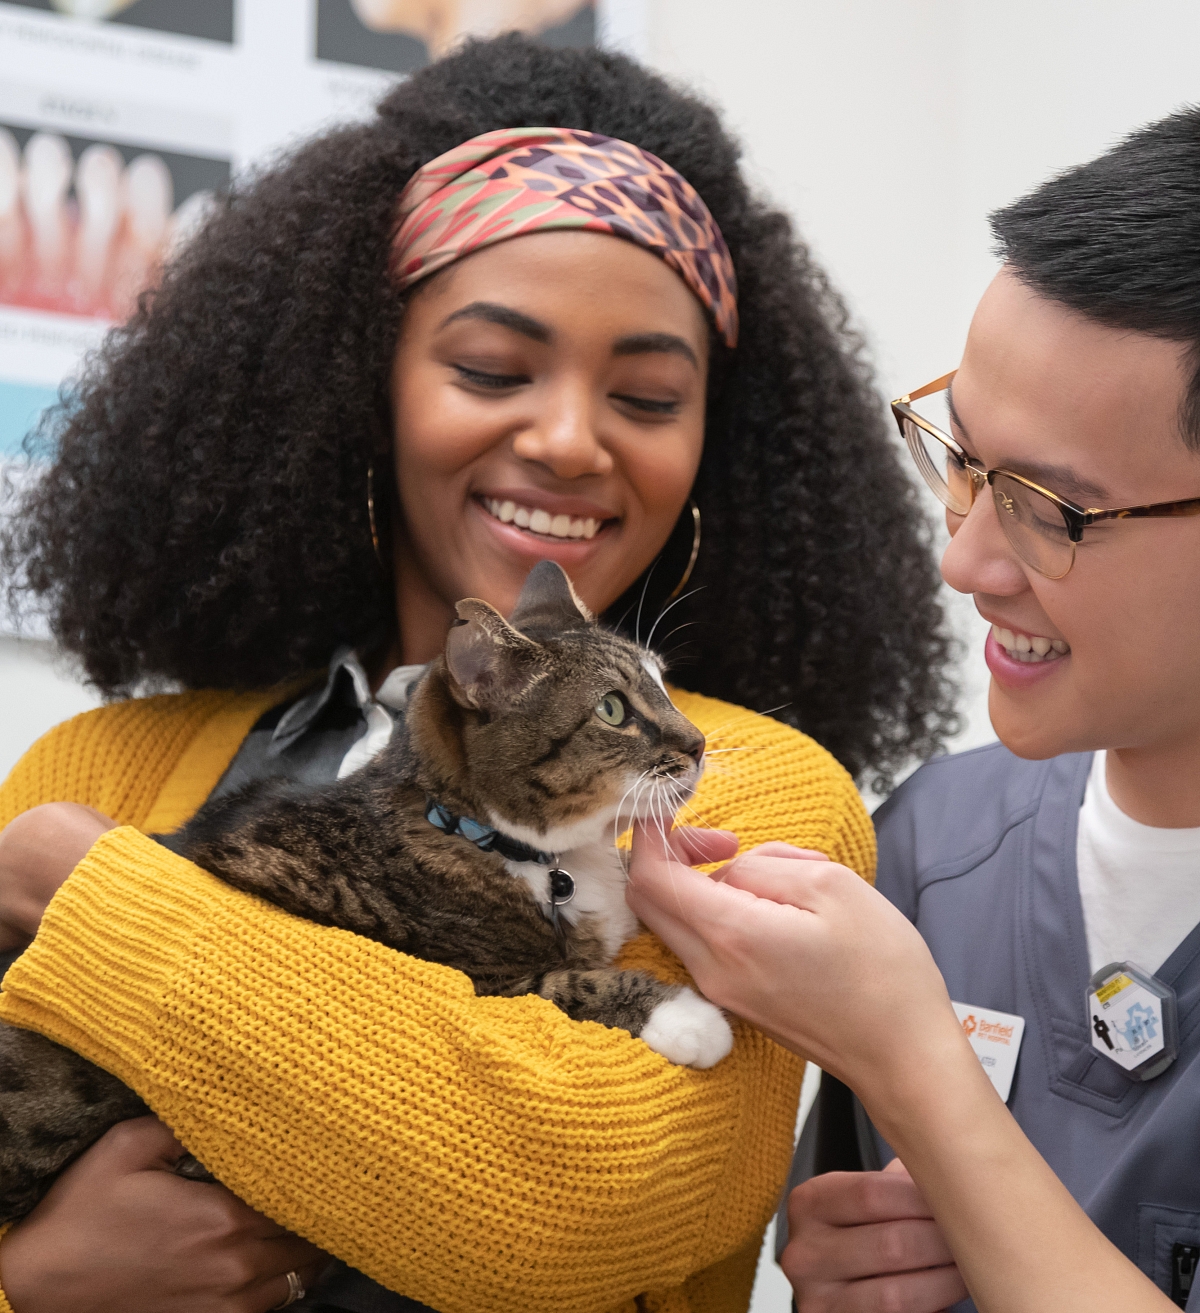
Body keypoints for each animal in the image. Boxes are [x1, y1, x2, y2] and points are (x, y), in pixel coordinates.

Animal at [0, 556, 729, 1218]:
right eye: (612, 709)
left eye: (664, 685)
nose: (698, 744)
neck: (504, 842)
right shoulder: (476, 978)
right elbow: (569, 986)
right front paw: (689, 1017)